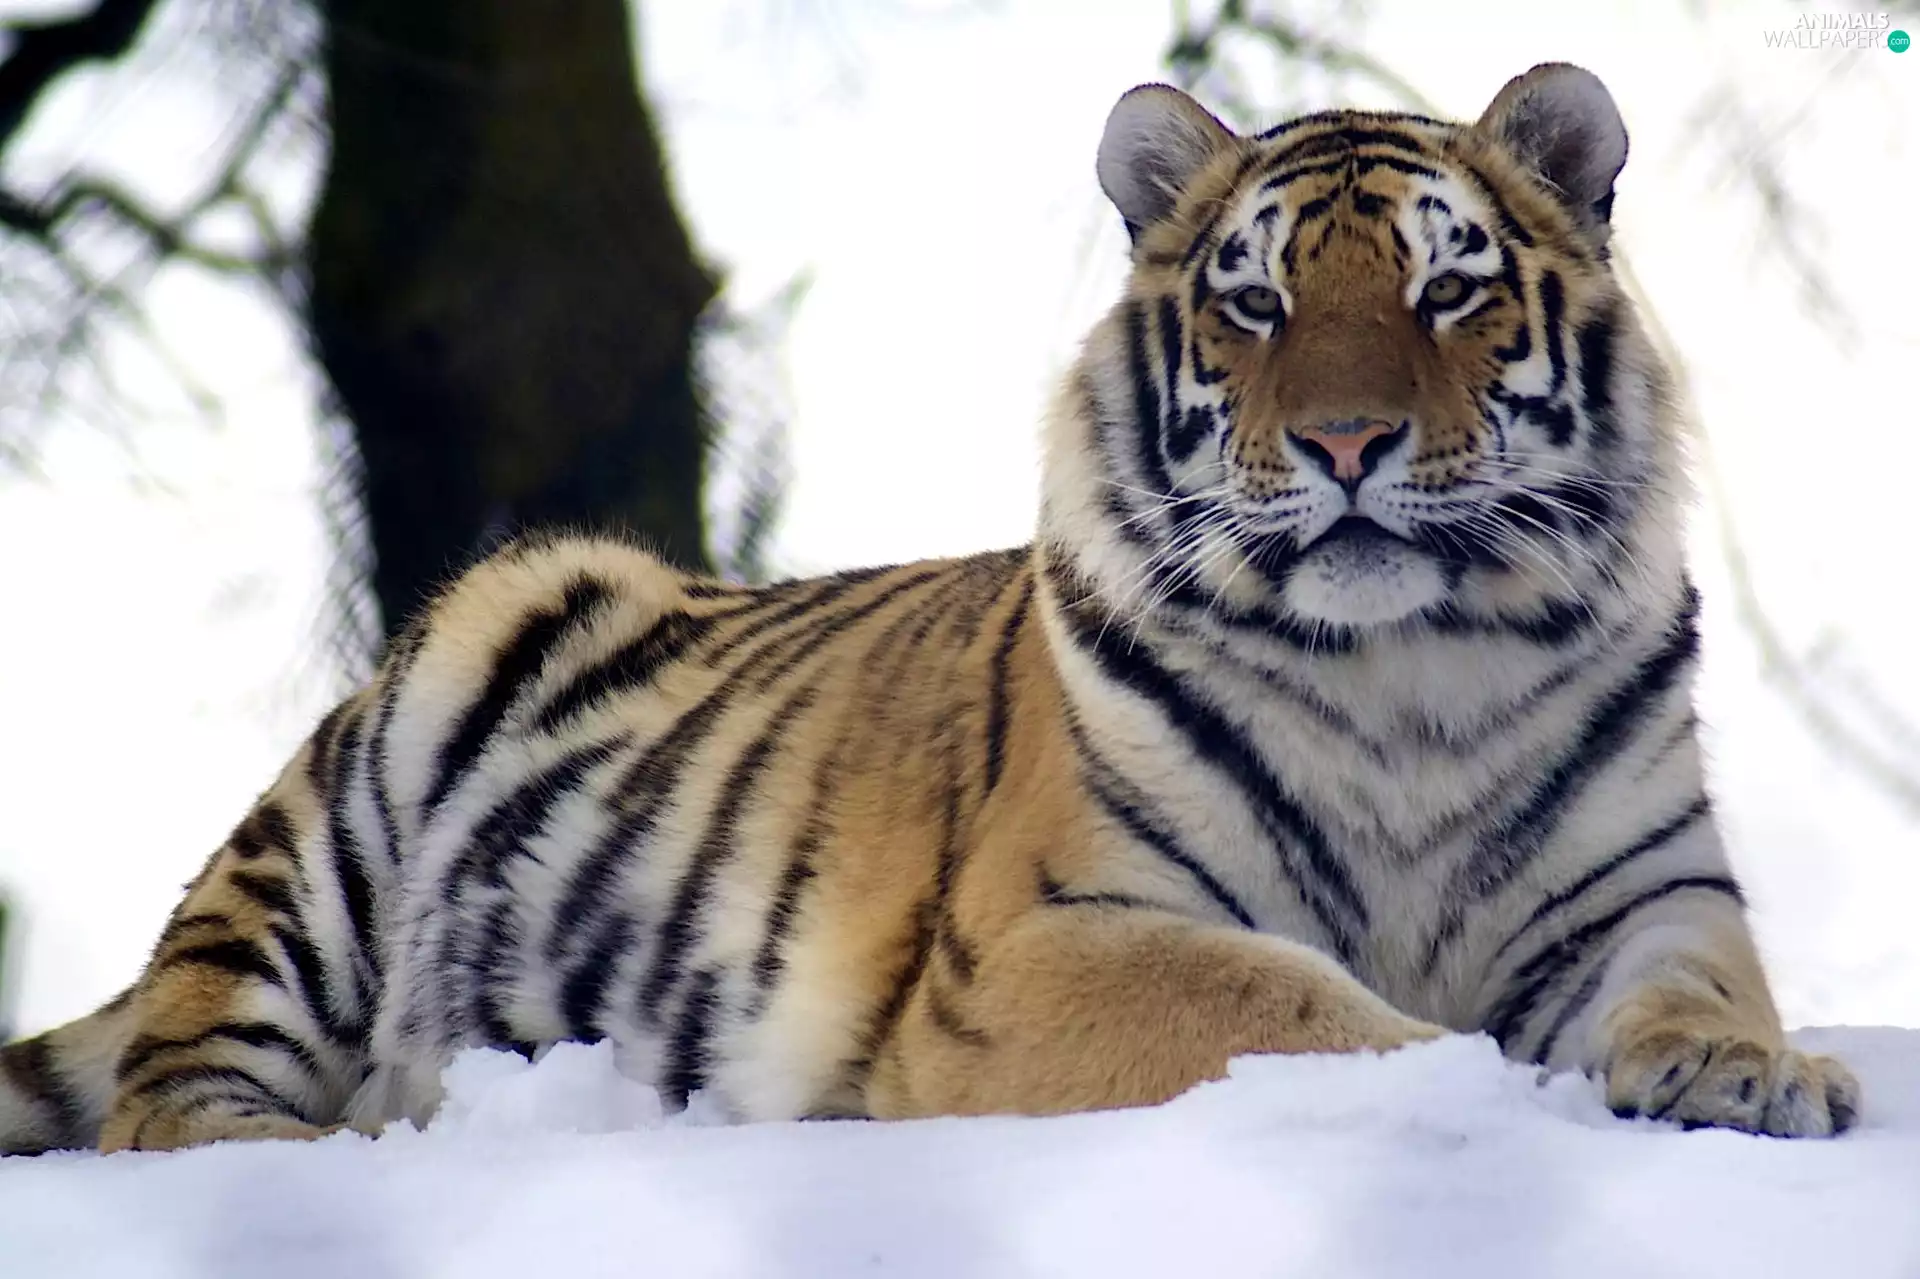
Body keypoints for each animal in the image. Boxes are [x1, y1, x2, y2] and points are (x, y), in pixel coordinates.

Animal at [0, 62, 1859, 1158]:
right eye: (1254, 303)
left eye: (1448, 288)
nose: (1345, 442)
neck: (1414, 666)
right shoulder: (1054, 933)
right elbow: (1302, 1010)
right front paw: (1476, 1088)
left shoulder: (1645, 889)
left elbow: (1700, 984)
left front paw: (1751, 1072)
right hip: (371, 787)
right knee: (176, 1103)